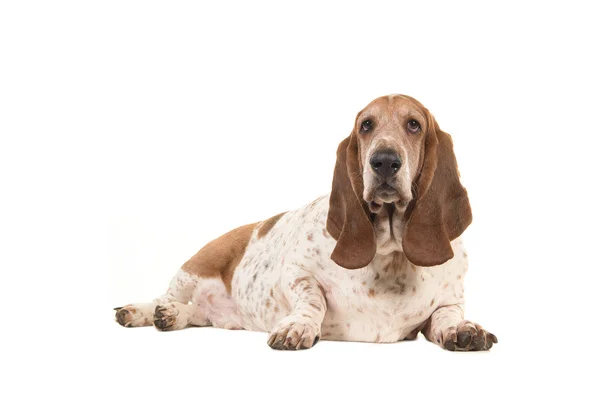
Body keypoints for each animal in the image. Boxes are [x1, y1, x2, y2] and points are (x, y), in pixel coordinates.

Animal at [116, 94, 496, 350]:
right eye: (366, 125)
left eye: (414, 124)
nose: (384, 161)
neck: (391, 253)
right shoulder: (297, 272)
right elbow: (314, 300)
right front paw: (297, 328)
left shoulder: (450, 299)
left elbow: (446, 315)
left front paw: (463, 330)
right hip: (192, 270)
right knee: (164, 296)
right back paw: (143, 311)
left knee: (197, 314)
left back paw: (174, 316)